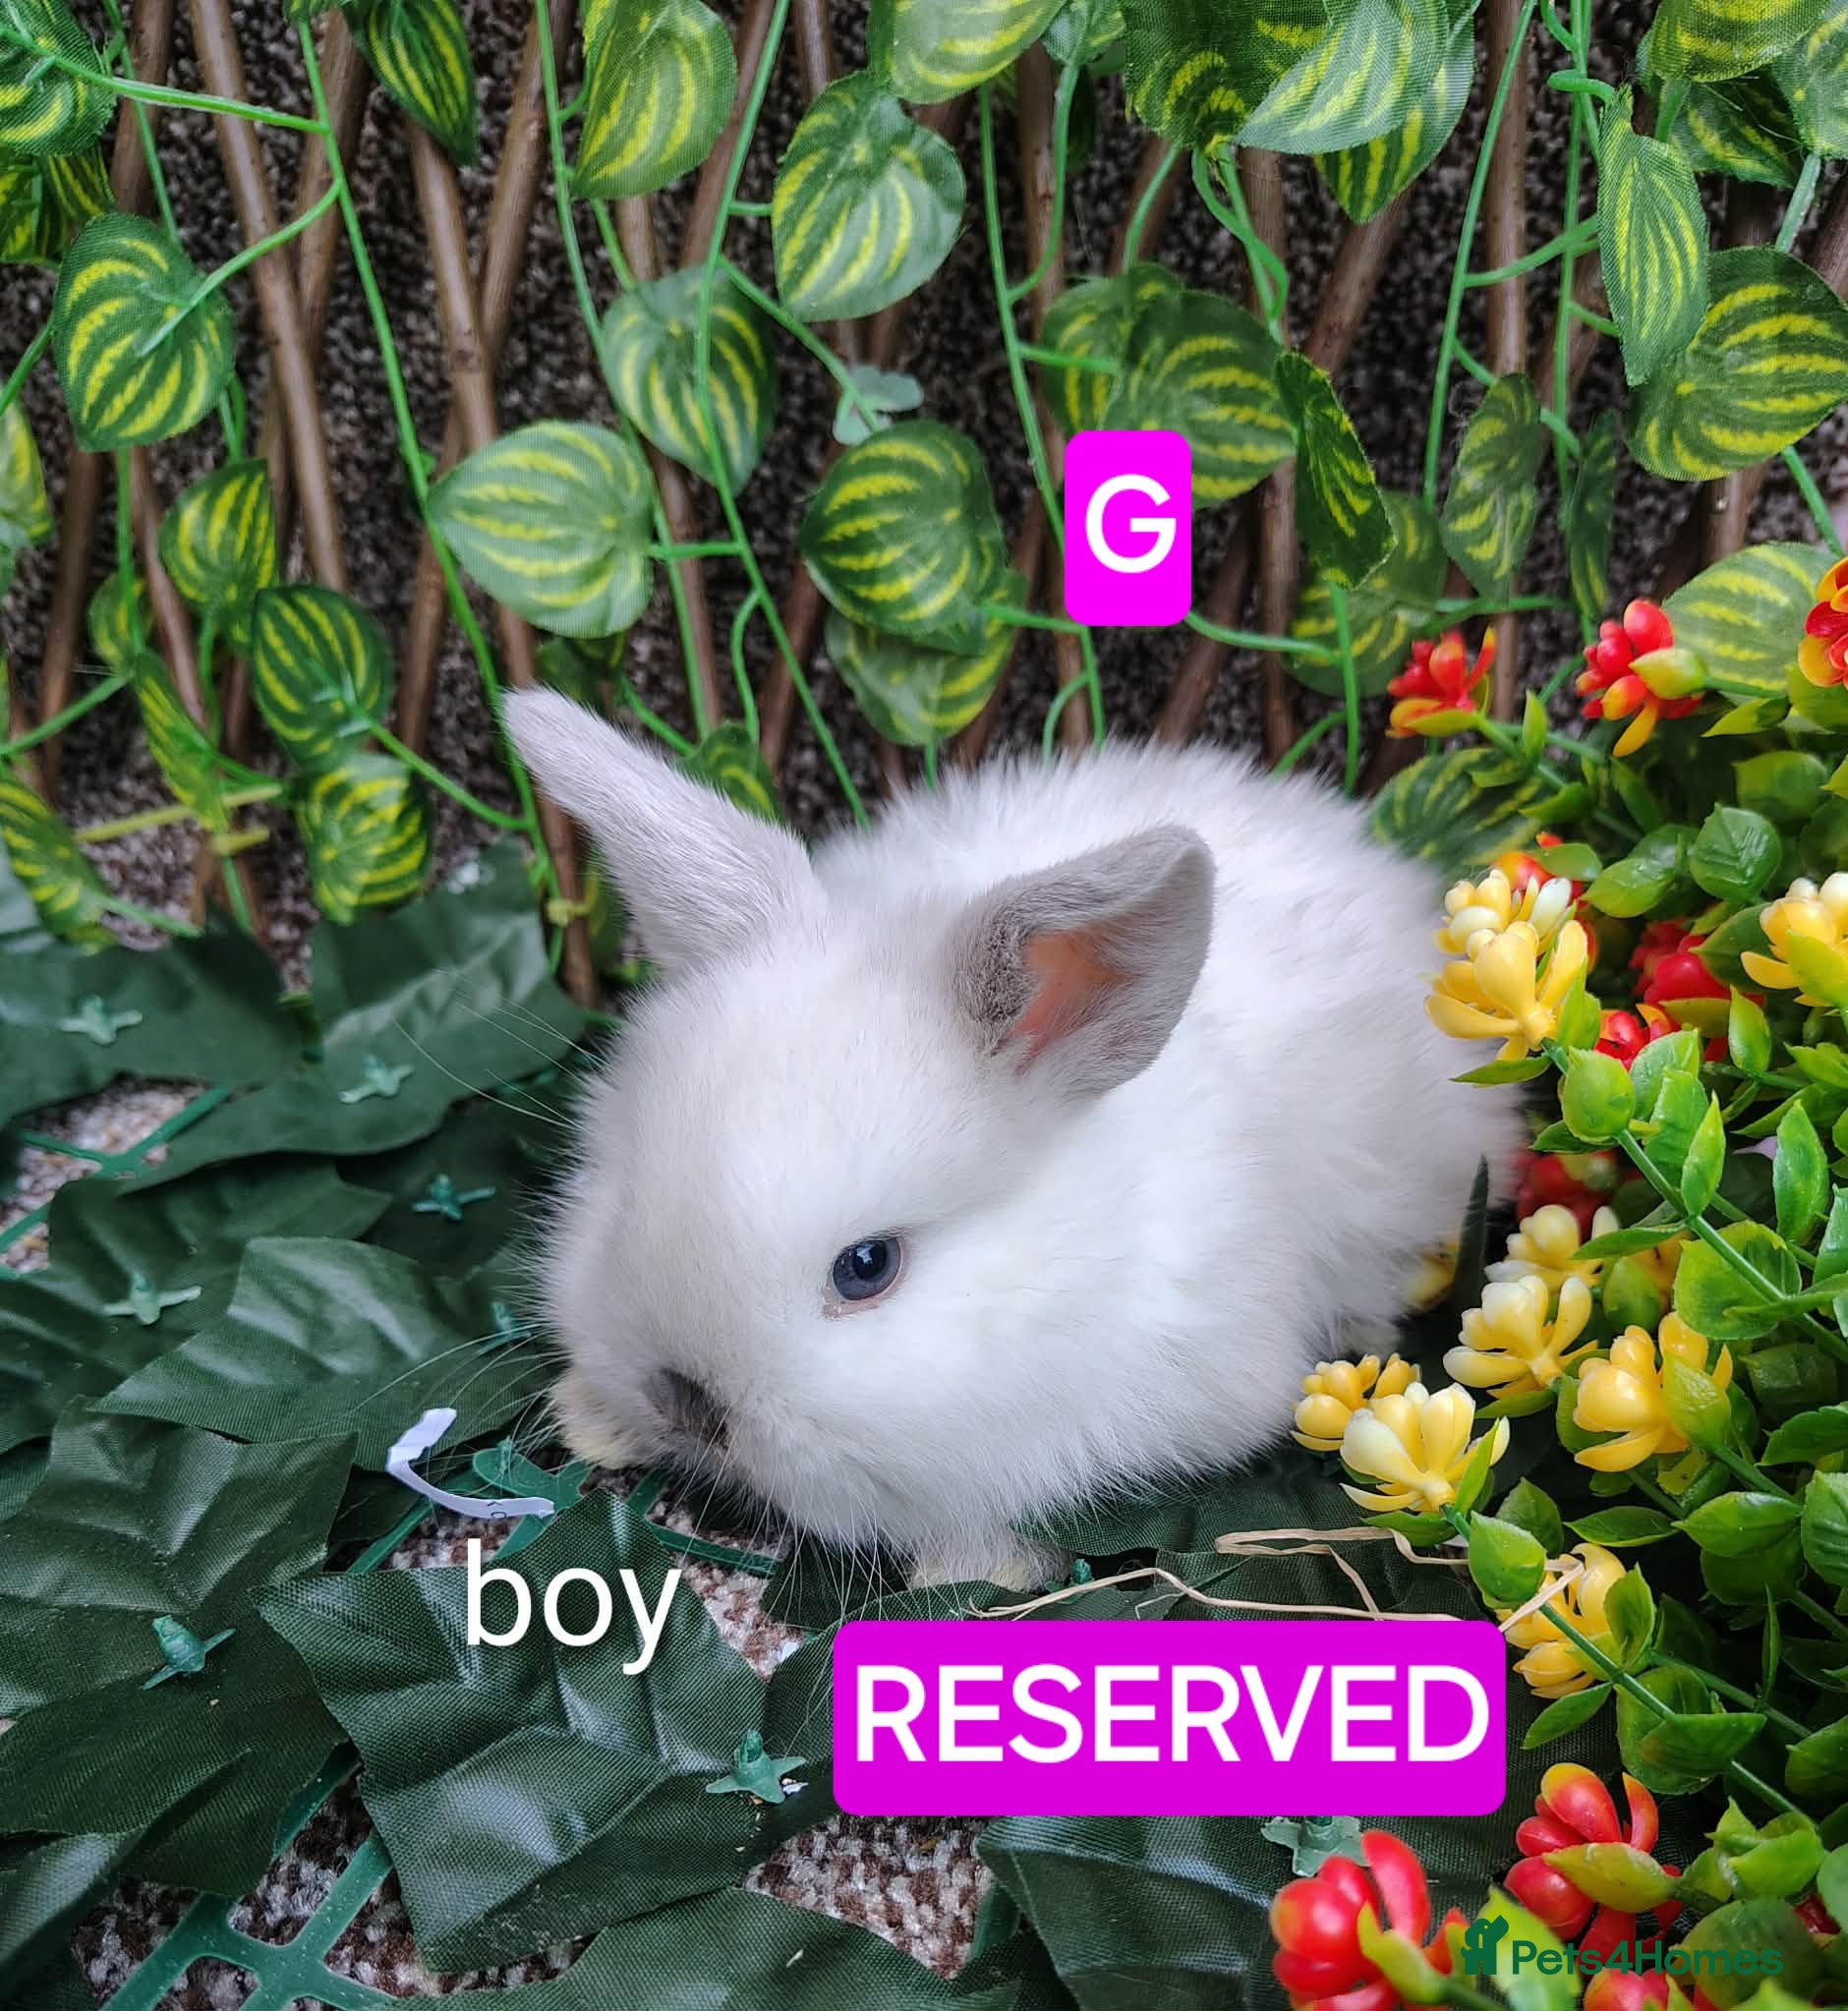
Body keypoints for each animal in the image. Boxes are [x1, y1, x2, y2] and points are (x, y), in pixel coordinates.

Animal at [506, 690, 1525, 1591]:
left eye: (868, 1267)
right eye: (626, 1196)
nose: (687, 1403)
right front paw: (589, 1419)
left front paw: (967, 1570)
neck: (1059, 1269)